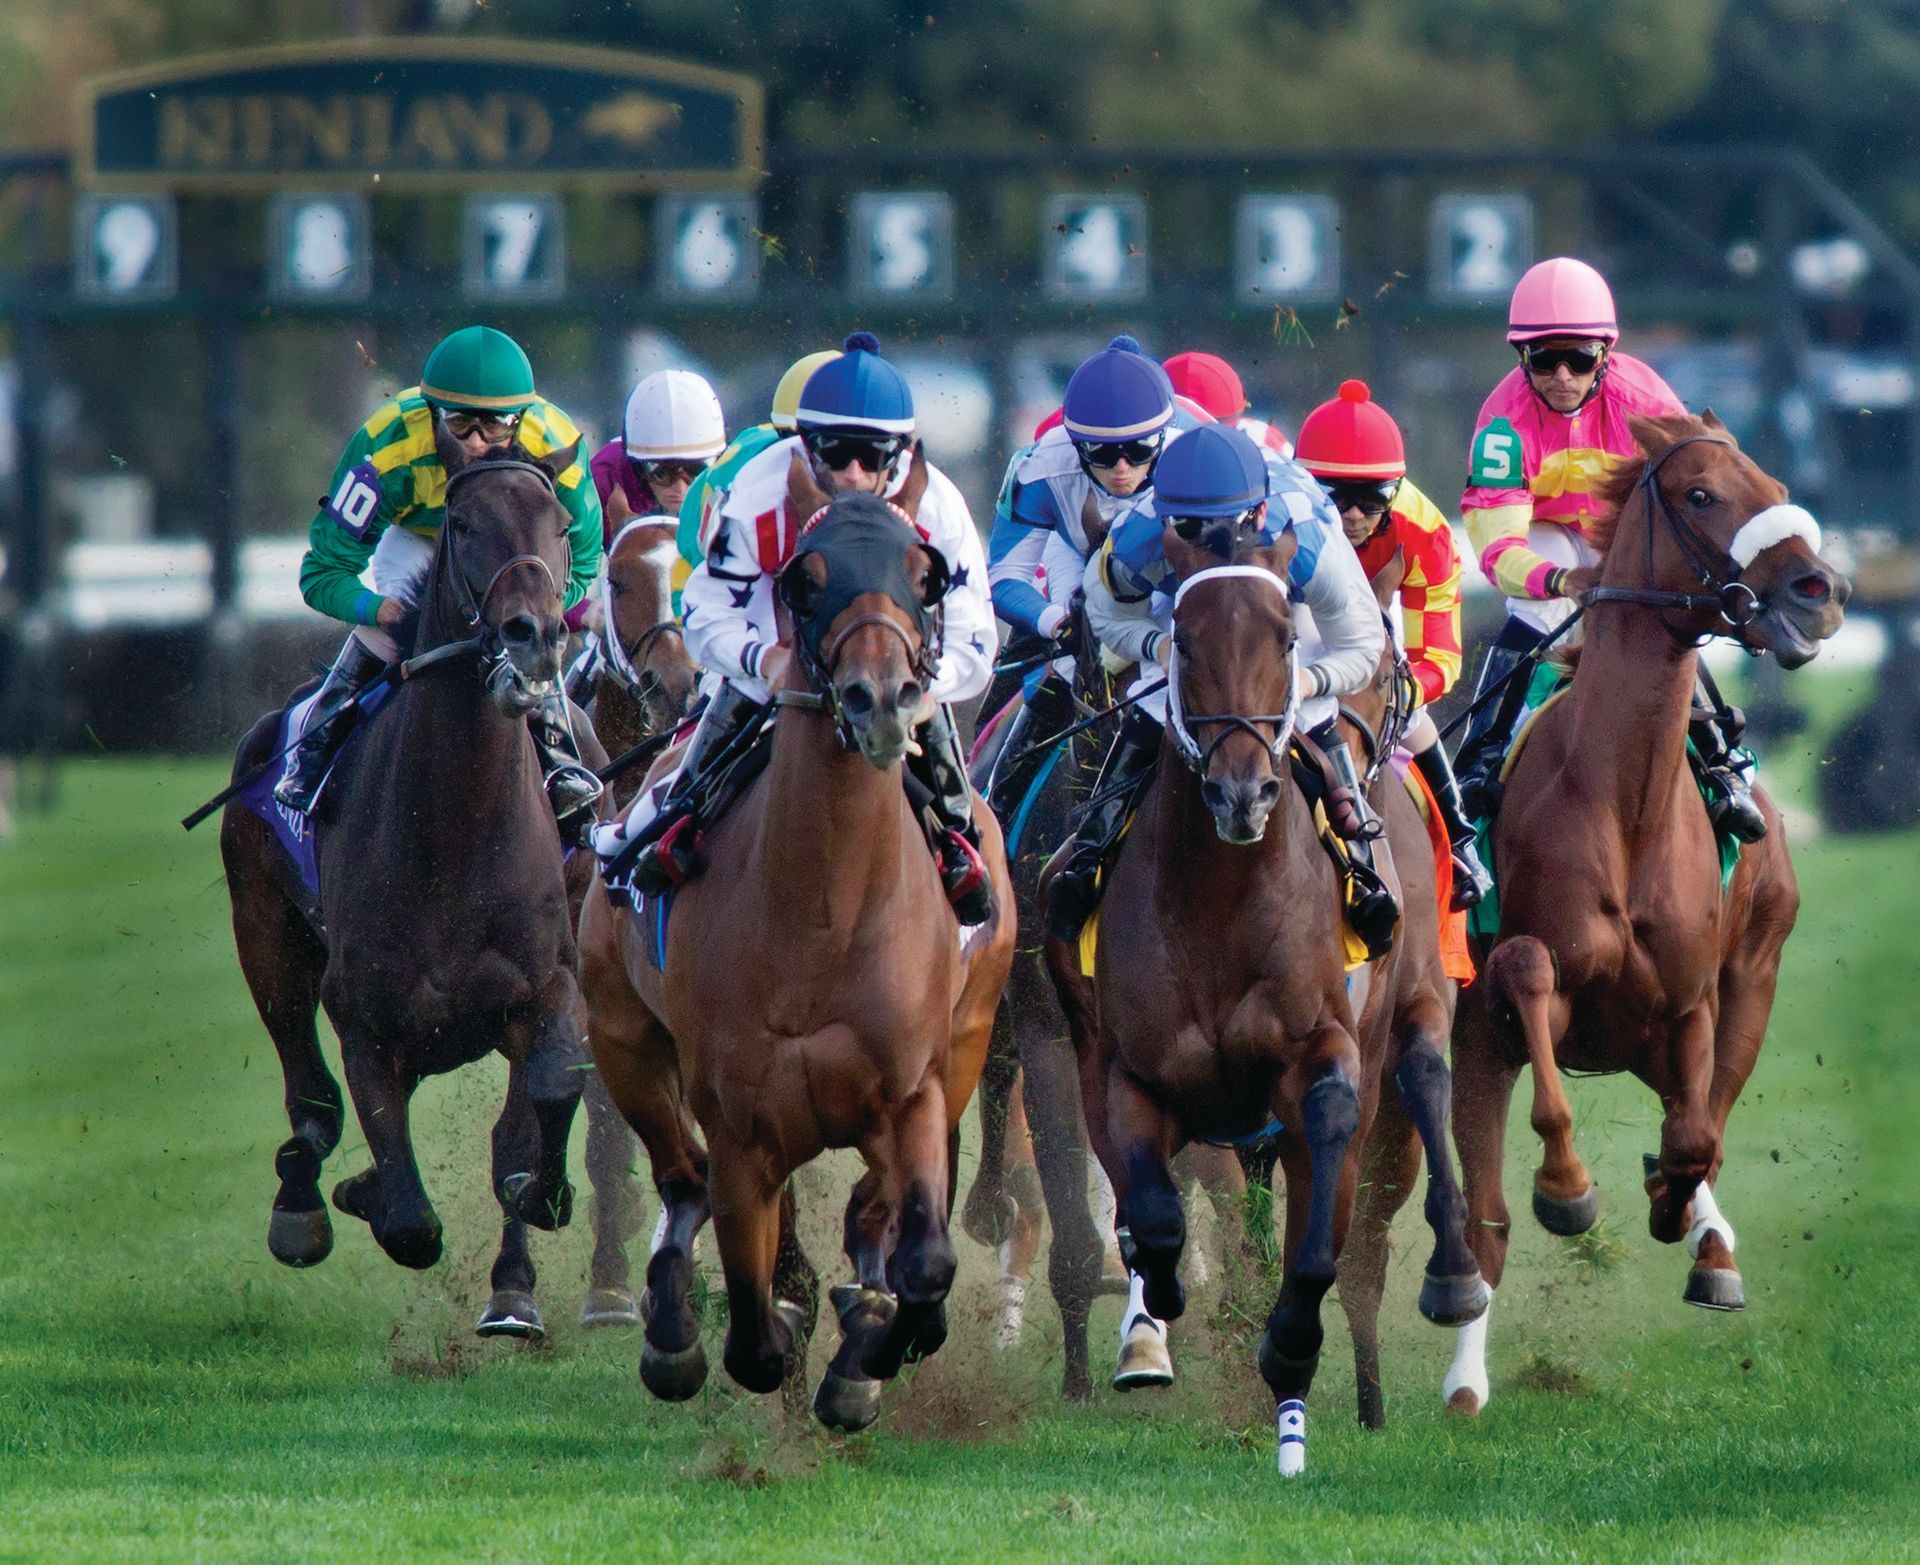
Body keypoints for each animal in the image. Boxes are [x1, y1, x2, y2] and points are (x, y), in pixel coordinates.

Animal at [221, 432, 587, 1332]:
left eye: (562, 523)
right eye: (462, 522)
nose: (534, 634)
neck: (454, 829)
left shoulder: (547, 982)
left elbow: (544, 1106)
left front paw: (544, 1197)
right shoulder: (366, 1022)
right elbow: (411, 1220)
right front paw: (363, 1191)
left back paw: (512, 1286)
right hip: (265, 933)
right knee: (310, 1095)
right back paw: (305, 1203)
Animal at [578, 453, 1016, 1430]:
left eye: (925, 576)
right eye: (806, 582)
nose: (881, 699)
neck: (826, 914)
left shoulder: (916, 1091)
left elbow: (925, 1263)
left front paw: (869, 1354)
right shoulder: (742, 1119)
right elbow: (752, 1317)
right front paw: (776, 1329)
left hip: (969, 1042)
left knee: (865, 1214)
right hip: (622, 1037)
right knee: (682, 1179)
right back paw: (673, 1328)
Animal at [1041, 523, 1419, 1476]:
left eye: (1286, 639)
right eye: (1183, 638)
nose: (1241, 791)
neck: (1221, 895)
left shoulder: (1325, 1058)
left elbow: (1316, 1239)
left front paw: (1288, 1346)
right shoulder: (1128, 1072)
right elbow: (1153, 1216)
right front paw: (1155, 1307)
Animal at [1443, 412, 1850, 1415]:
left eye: (1774, 479)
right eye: (1701, 494)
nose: (1819, 592)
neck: (1622, 801)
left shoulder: (1694, 998)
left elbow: (1697, 1136)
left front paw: (1678, 1208)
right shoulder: (1511, 998)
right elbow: (1529, 974)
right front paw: (1570, 1187)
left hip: (1753, 979)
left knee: (1705, 1118)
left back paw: (1707, 1241)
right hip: (1480, 1045)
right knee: (1486, 1219)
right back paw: (1466, 1381)